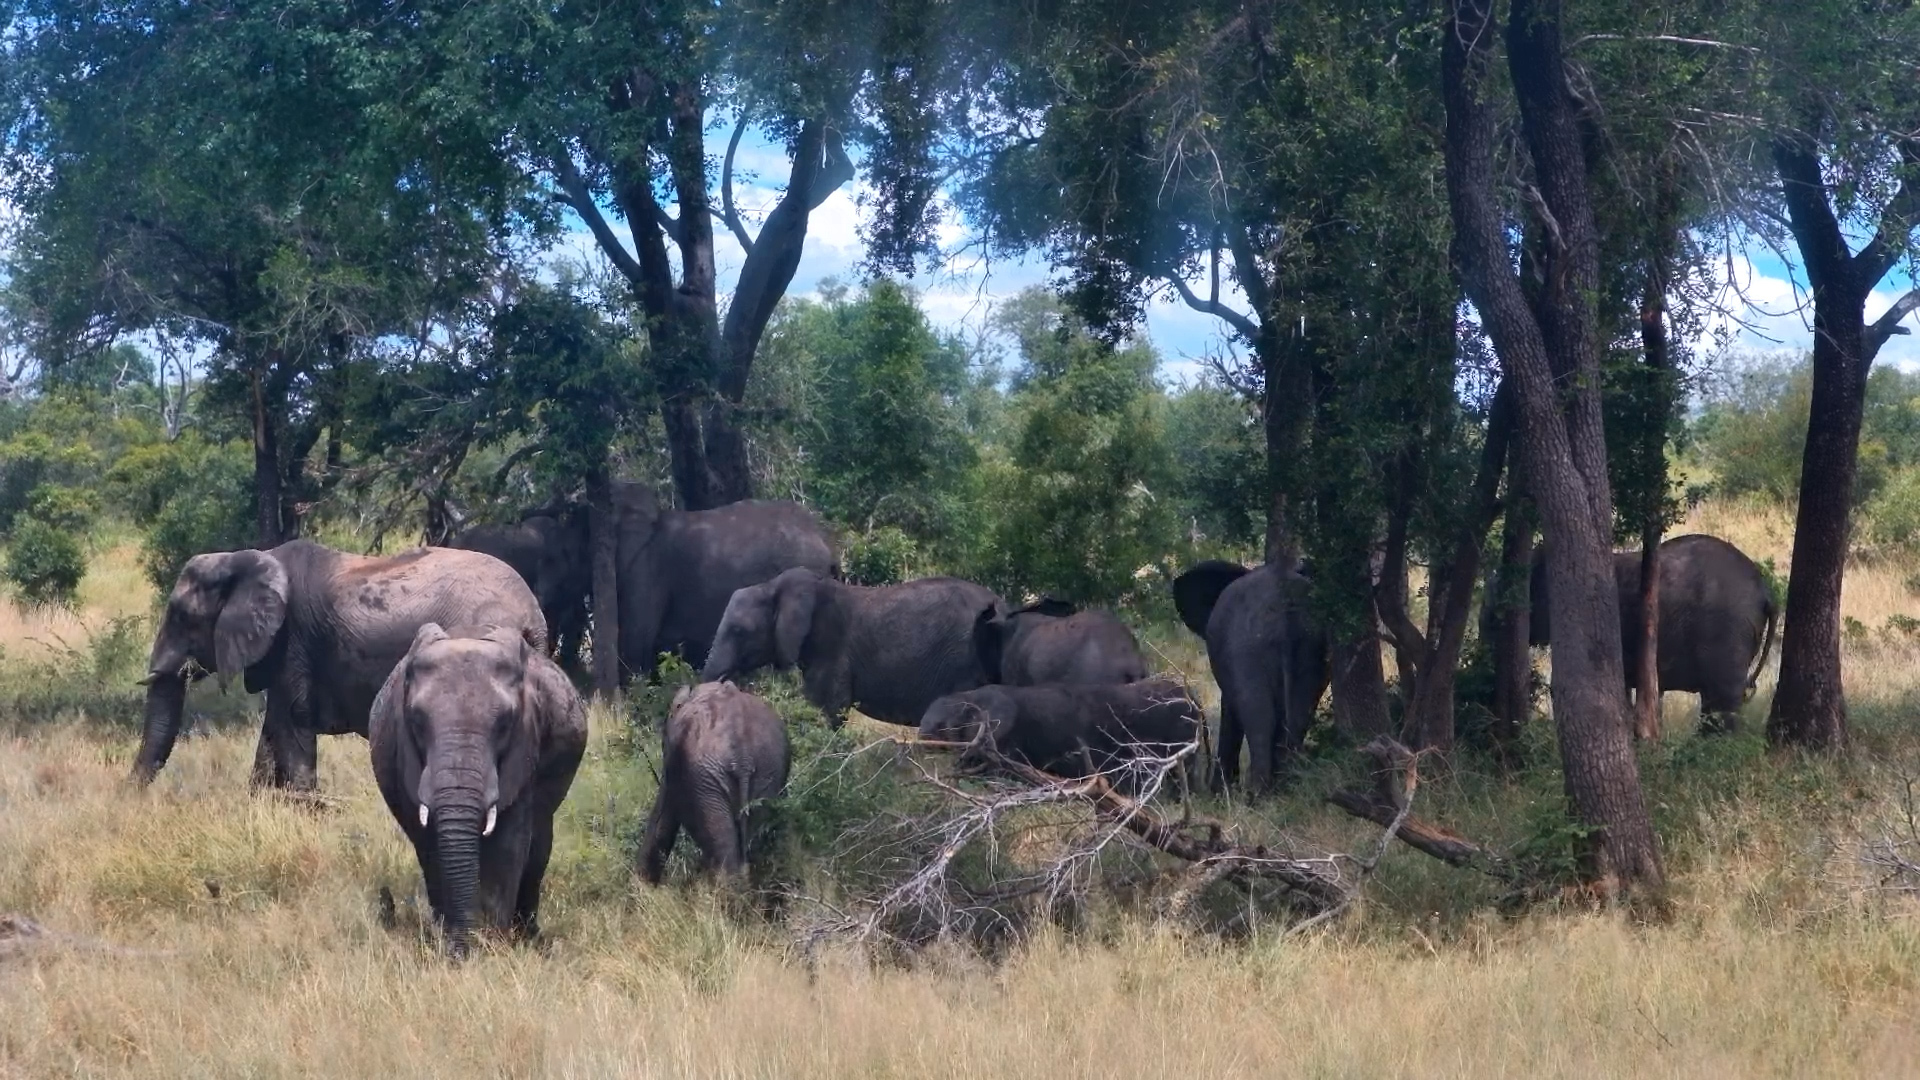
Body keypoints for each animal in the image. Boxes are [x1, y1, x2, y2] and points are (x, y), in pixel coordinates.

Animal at [131, 539, 547, 791]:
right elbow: (273, 729)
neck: (245, 557)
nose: (132, 796)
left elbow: (292, 719)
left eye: (182, 617)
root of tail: (532, 613)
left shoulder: (292, 638)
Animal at [369, 624, 586, 959]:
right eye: (416, 720)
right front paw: (451, 942)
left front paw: (492, 945)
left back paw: (530, 937)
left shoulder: (525, 747)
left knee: (539, 847)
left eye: (505, 723)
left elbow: (508, 844)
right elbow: (430, 845)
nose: (460, 952)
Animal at [1173, 559, 1329, 794]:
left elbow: (1230, 711)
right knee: (1299, 714)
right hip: (1309, 645)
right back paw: (1286, 785)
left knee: (1260, 718)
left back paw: (1256, 793)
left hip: (1247, 649)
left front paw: (1219, 791)